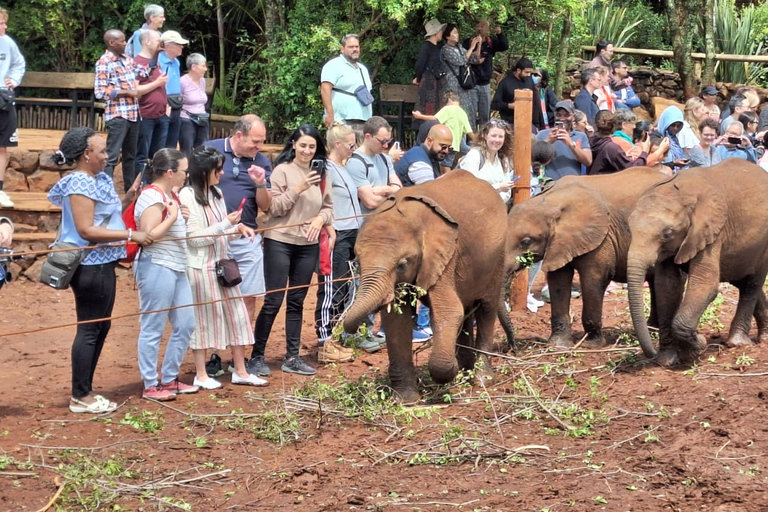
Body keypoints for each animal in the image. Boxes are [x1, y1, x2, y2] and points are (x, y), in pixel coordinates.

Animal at [344, 172, 510, 404]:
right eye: (357, 261)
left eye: (402, 264)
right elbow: (397, 320)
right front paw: (406, 400)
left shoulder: (445, 256)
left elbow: (449, 310)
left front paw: (448, 375)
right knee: (468, 309)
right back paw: (466, 371)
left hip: (497, 255)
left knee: (486, 308)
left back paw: (481, 379)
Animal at [500, 167, 668, 348]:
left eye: (526, 241)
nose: (512, 347)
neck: (551, 199)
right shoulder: (559, 243)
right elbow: (558, 281)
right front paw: (558, 345)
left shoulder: (603, 236)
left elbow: (594, 279)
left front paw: (591, 345)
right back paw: (653, 330)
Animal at [628, 162, 768, 366]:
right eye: (629, 229)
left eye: (667, 234)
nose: (651, 353)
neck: (683, 193)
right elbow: (667, 287)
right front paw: (666, 361)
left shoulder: (712, 231)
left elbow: (705, 284)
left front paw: (696, 349)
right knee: (743, 281)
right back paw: (763, 337)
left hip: (763, 245)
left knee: (752, 284)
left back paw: (737, 343)